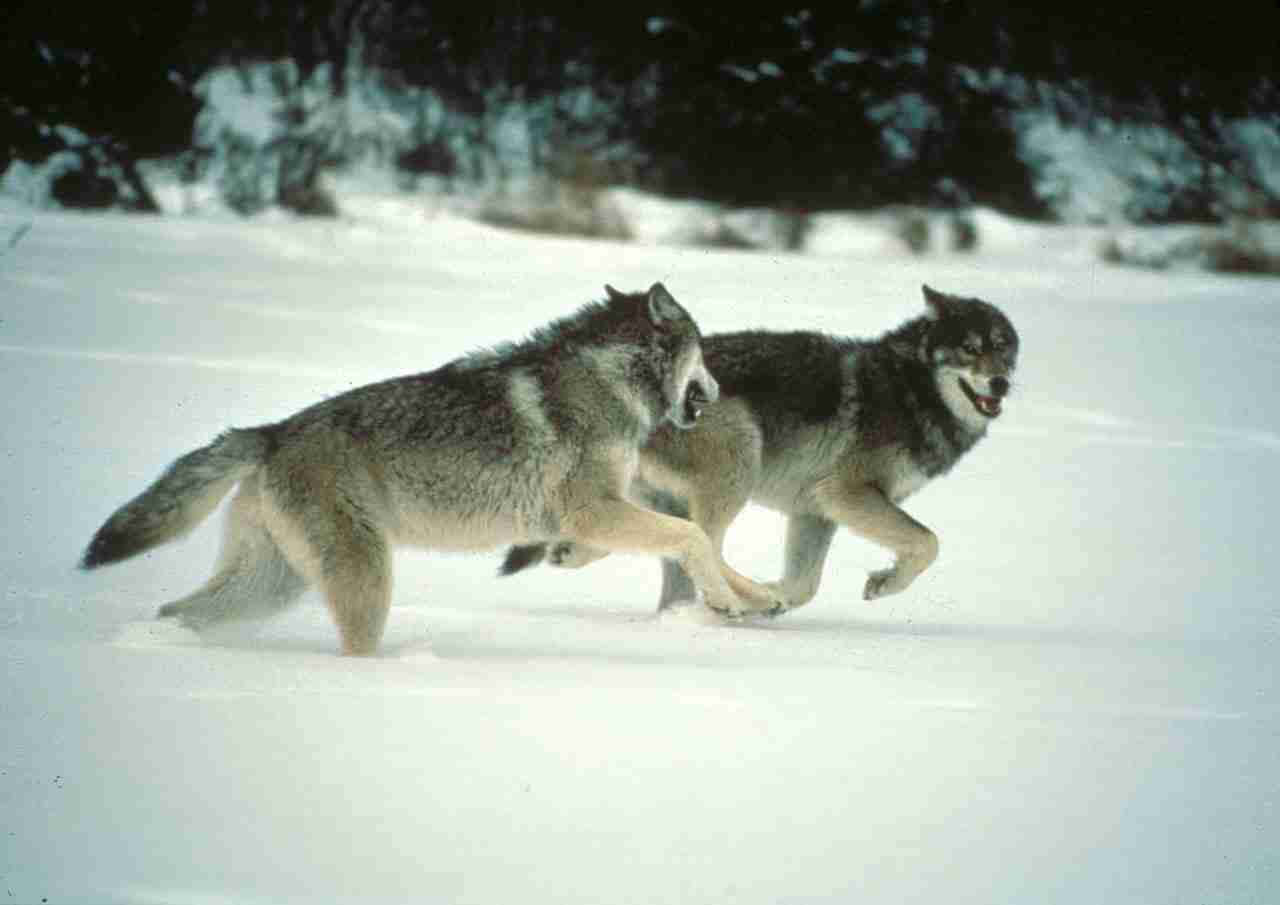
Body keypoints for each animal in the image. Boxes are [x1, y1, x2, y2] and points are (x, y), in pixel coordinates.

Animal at [80, 283, 784, 655]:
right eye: (704, 354)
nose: (719, 392)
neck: (610, 383)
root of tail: (273, 432)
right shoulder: (592, 512)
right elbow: (695, 539)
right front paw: (727, 603)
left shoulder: (602, 514)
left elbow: (710, 548)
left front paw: (756, 599)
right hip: (361, 575)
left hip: (271, 584)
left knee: (179, 610)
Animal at [501, 285, 1019, 614]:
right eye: (970, 349)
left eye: (1004, 349)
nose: (1001, 383)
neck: (911, 389)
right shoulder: (846, 493)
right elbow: (928, 542)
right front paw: (882, 583)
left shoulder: (817, 510)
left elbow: (805, 586)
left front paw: (778, 598)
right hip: (740, 455)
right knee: (702, 544)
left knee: (655, 547)